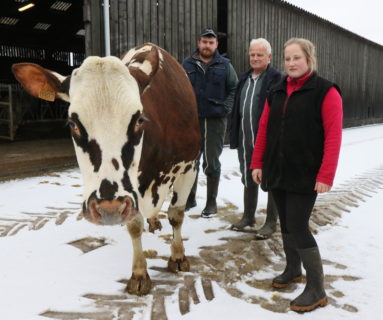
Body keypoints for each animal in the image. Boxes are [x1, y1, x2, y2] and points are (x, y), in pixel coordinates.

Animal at [12, 43, 201, 296]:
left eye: (139, 119)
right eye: (73, 124)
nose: (108, 207)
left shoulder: (189, 167)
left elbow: (176, 215)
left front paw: (178, 257)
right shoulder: (132, 191)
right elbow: (134, 225)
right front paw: (139, 273)